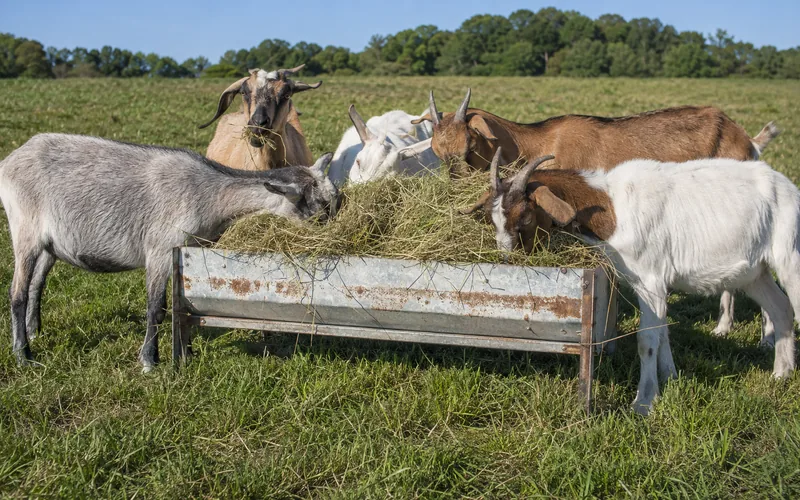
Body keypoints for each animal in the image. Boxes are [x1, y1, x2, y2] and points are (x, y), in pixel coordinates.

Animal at [0, 133, 338, 371]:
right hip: (25, 230)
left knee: (36, 284)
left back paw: (34, 331)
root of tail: (11, 160)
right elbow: (156, 308)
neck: (210, 194)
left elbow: (178, 308)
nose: (334, 229)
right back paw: (23, 354)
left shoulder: (184, 255)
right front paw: (150, 361)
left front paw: (185, 352)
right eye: (318, 209)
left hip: (50, 244)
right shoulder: (160, 251)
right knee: (17, 292)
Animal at [483, 149, 799, 415]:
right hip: (755, 273)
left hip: (790, 256)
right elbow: (661, 331)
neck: (612, 208)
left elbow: (647, 339)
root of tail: (789, 187)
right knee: (781, 309)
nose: (507, 259)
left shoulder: (650, 280)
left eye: (525, 216)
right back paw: (780, 374)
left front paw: (643, 402)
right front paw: (671, 378)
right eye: (493, 219)